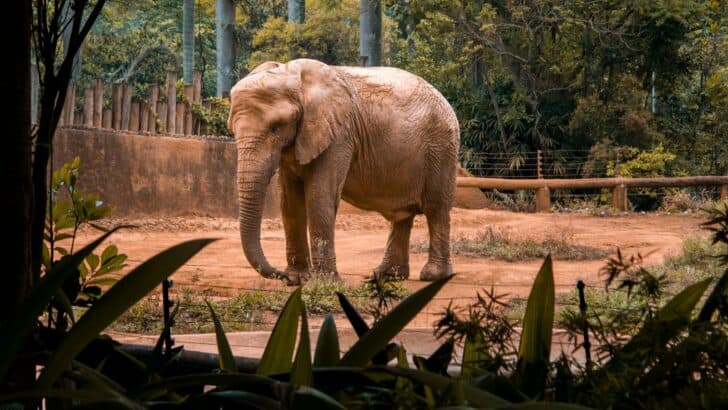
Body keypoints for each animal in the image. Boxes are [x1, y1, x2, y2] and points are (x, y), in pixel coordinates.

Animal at [228, 58, 460, 284]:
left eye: (276, 127)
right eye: (233, 130)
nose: (280, 275)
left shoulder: (339, 135)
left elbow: (319, 196)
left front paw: (324, 283)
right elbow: (290, 203)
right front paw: (297, 278)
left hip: (441, 149)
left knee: (436, 208)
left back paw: (433, 276)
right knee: (402, 215)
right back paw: (385, 276)